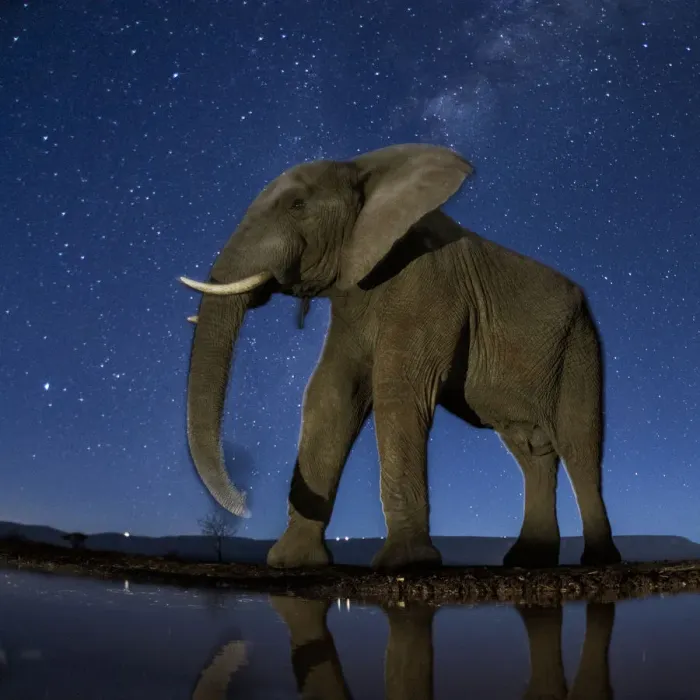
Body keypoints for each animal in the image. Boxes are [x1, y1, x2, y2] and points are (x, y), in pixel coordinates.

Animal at [179, 142, 622, 570]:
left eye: (297, 206)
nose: (244, 504)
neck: (364, 168)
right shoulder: (354, 297)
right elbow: (330, 394)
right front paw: (292, 562)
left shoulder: (429, 280)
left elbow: (398, 390)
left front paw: (407, 562)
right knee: (532, 453)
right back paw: (526, 560)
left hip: (581, 346)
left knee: (579, 447)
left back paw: (598, 560)